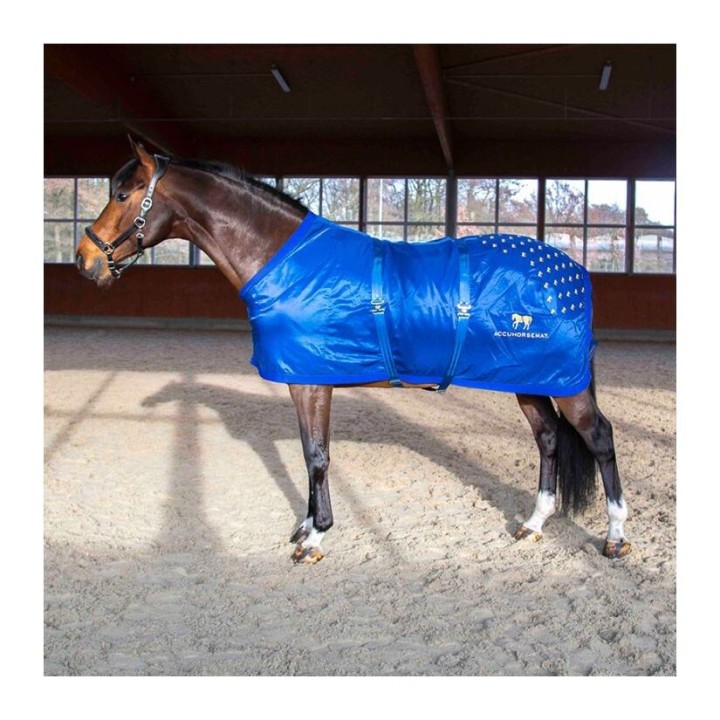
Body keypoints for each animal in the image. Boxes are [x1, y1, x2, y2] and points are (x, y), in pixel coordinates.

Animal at [75, 137, 631, 564]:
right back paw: (534, 524)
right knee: (549, 440)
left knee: (599, 438)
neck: (285, 261)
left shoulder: (311, 382)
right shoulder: (306, 382)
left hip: (565, 385)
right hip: (528, 381)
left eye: (122, 193)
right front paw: (304, 527)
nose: (84, 261)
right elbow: (308, 453)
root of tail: (575, 272)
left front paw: (316, 537)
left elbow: (317, 456)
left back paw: (615, 537)